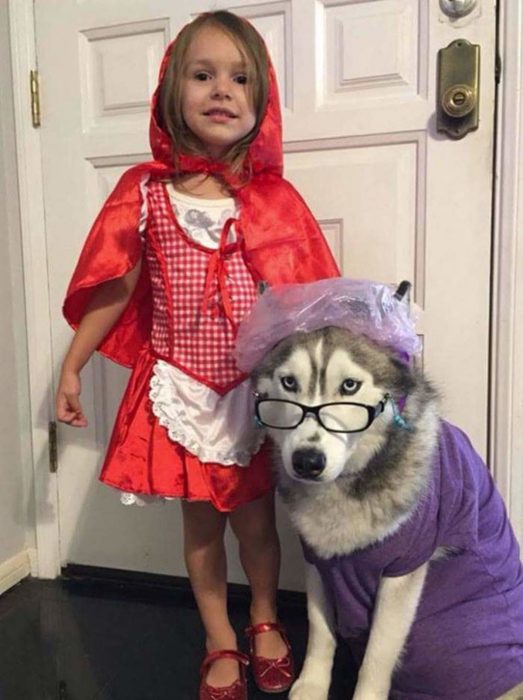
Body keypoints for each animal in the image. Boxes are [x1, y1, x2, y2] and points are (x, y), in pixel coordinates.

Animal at [247, 282, 523, 700]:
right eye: (289, 382)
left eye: (349, 385)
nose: (307, 461)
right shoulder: (318, 562)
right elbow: (320, 632)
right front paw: (311, 686)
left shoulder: (402, 573)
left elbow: (377, 657)